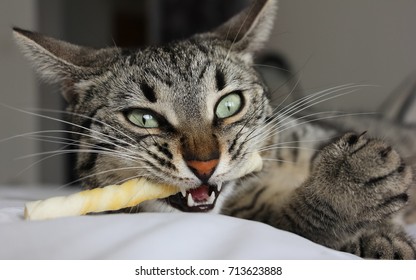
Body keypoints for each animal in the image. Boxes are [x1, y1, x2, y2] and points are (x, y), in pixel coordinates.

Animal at [13, 0, 416, 258]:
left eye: (229, 104)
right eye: (144, 118)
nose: (205, 164)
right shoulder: (261, 216)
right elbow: (296, 221)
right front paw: (350, 190)